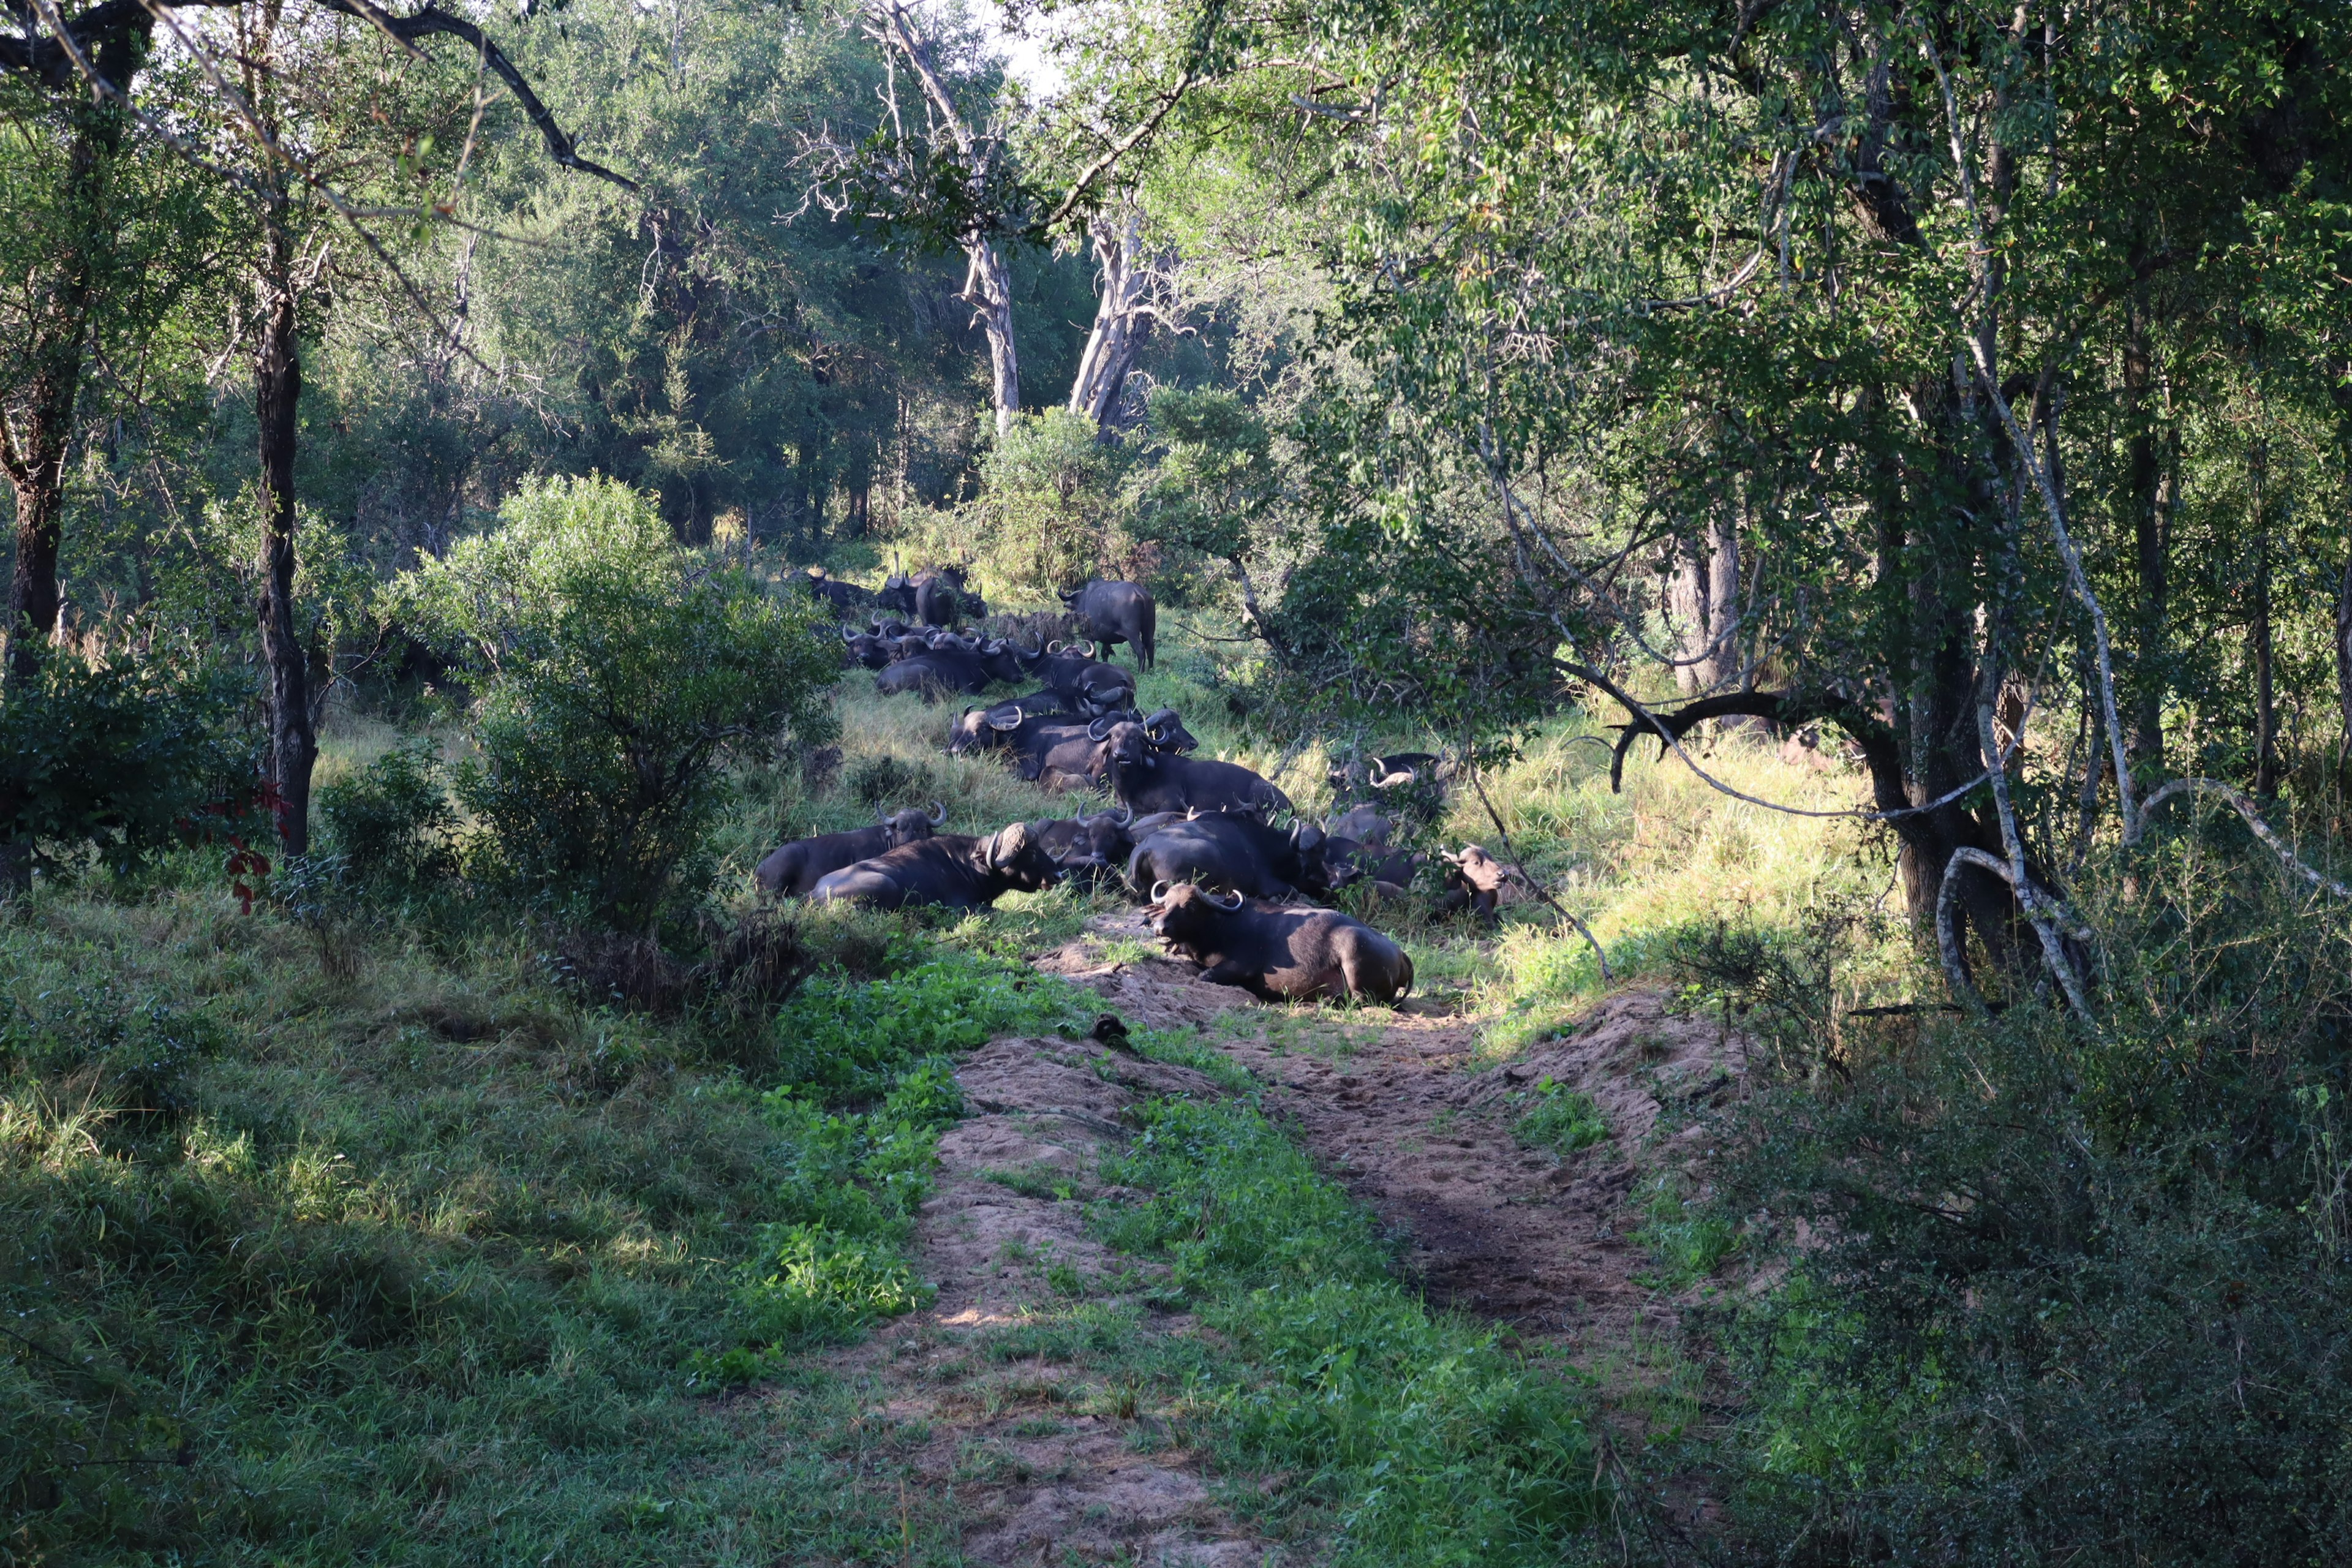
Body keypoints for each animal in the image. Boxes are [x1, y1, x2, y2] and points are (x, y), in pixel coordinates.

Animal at [813, 818, 1063, 912]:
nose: (1057, 875)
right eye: (1031, 852)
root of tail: (814, 893)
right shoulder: (964, 907)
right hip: (885, 884)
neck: (970, 865)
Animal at [1058, 582, 1157, 668]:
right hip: (1149, 628)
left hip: (1132, 632)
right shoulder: (1107, 639)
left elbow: (1092, 654)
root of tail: (1139, 593)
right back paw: (1150, 668)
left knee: (1140, 649)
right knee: (1150, 646)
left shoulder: (1088, 636)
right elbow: (1104, 653)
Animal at [1091, 724, 1298, 823]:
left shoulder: (1172, 801)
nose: (1121, 755)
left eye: (1134, 739)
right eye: (1114, 737)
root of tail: (1289, 801)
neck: (1136, 782)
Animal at [1143, 884, 1401, 1006]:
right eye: (1166, 903)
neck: (1221, 924)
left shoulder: (1242, 966)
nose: (1160, 928)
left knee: (1360, 999)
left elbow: (1204, 976)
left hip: (1353, 957)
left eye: (1191, 906)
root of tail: (1401, 955)